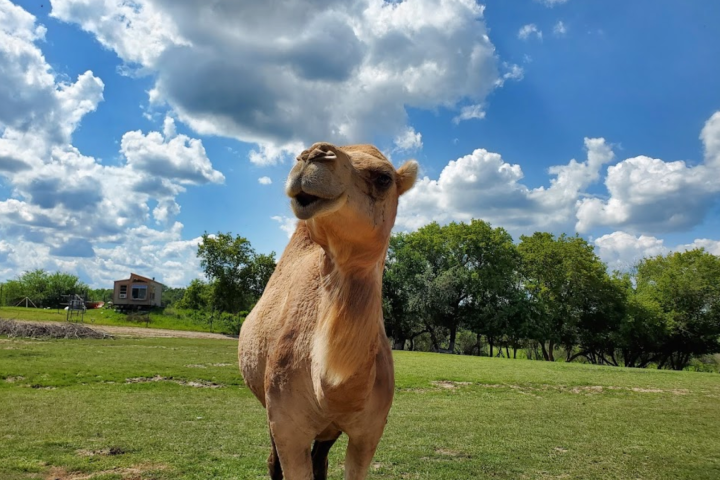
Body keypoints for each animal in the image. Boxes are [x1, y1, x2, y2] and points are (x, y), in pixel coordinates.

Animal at [238, 142, 417, 480]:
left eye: (384, 178)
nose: (312, 155)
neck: (335, 391)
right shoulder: (287, 425)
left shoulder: (370, 432)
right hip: (270, 409)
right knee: (274, 461)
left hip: (328, 430)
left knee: (320, 459)